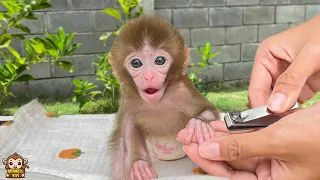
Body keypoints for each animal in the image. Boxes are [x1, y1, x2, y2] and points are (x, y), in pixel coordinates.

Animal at [108, 15, 220, 180]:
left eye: (160, 60)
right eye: (136, 63)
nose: (149, 76)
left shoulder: (182, 91)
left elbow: (208, 108)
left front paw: (199, 124)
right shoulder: (128, 97)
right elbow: (123, 141)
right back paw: (140, 163)